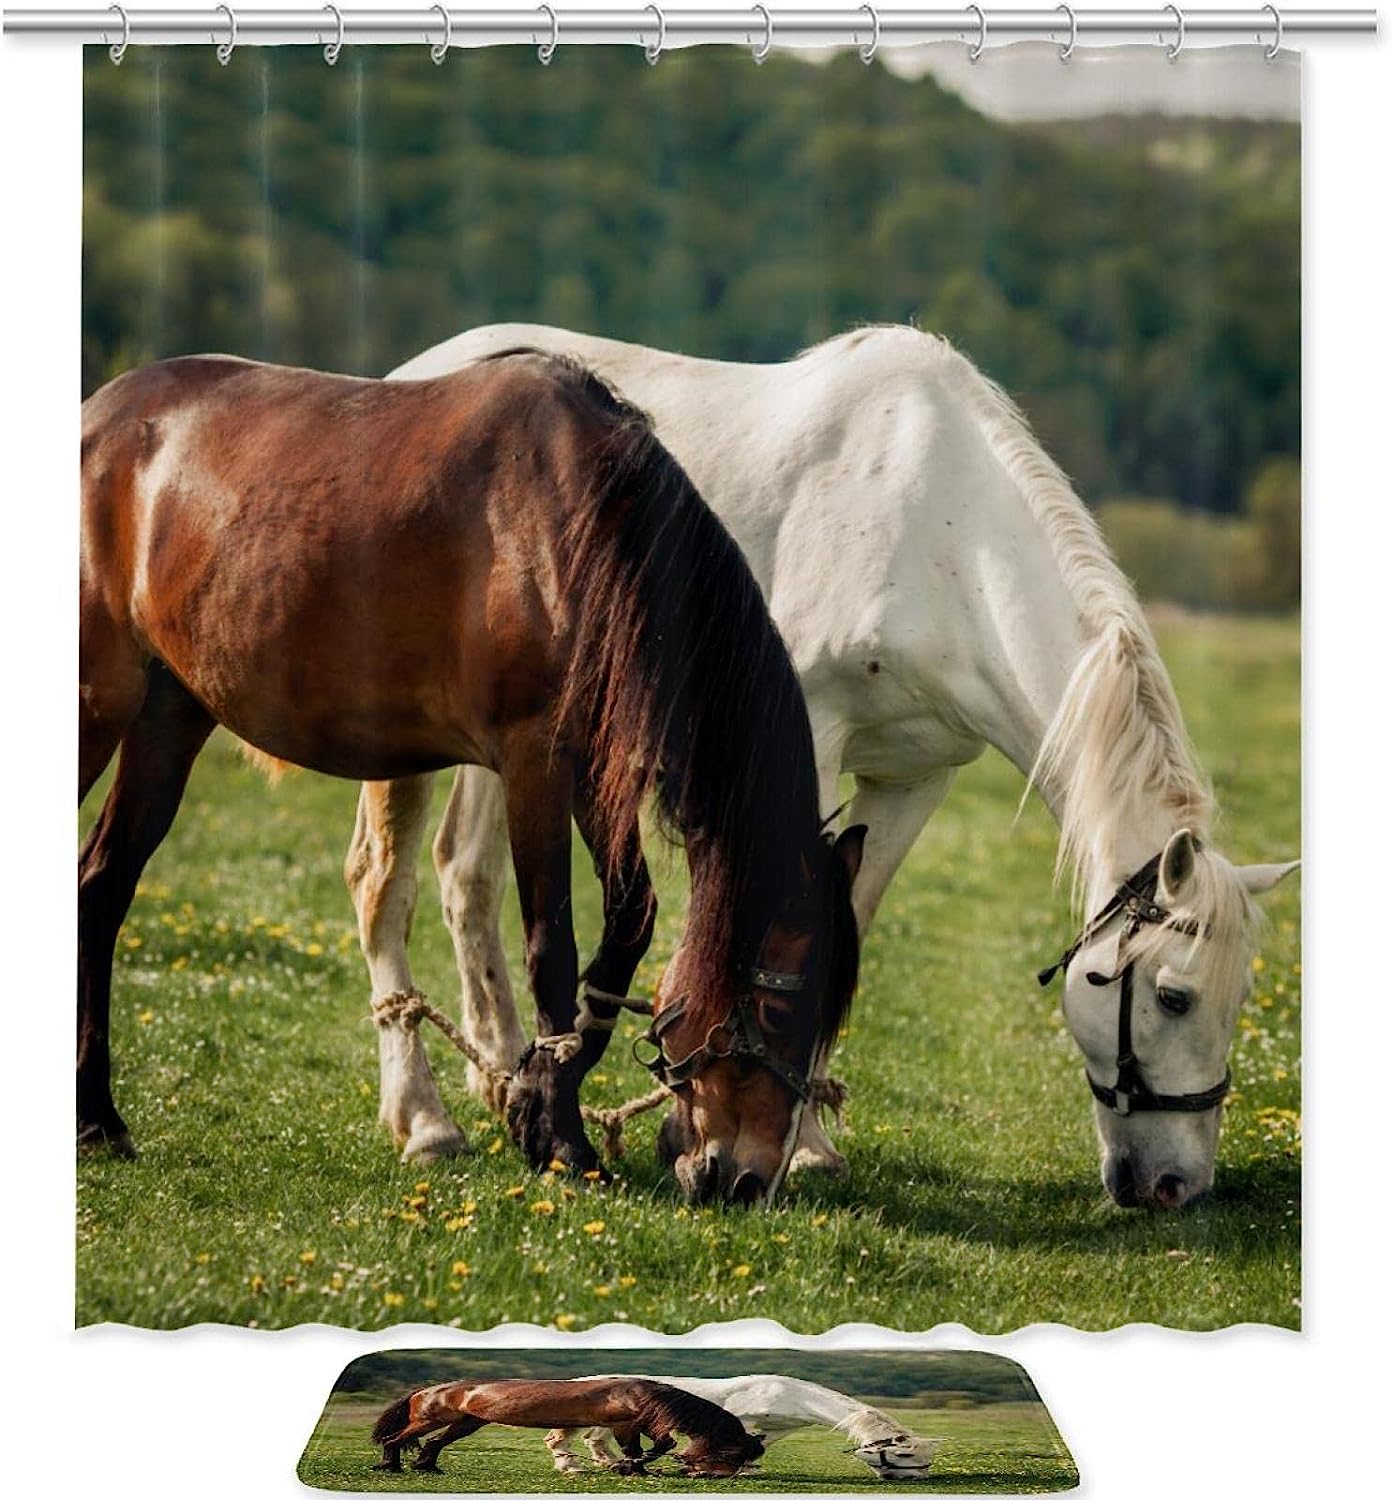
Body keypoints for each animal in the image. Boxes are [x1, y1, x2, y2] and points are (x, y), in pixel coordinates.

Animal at [77, 349, 863, 1202]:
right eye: (780, 1012)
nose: (747, 1180)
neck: (582, 529)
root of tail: (99, 417)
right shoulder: (533, 763)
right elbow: (551, 947)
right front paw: (562, 1137)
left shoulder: (591, 773)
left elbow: (628, 926)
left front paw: (533, 1099)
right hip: (98, 703)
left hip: (169, 716)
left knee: (102, 887)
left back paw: (98, 1119)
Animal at [350, 322, 1298, 1208]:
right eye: (1173, 996)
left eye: (1242, 997)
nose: (1175, 1186)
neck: (943, 539)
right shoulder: (805, 739)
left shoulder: (915, 779)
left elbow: (848, 922)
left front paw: (797, 1137)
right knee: (387, 880)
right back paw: (426, 1120)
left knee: (466, 875)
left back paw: (505, 1073)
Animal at [369, 1376, 765, 1477]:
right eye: (733, 1452)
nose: (712, 1477)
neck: (637, 1394)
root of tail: (423, 1391)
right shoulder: (623, 1425)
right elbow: (648, 1448)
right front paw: (627, 1468)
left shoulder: (639, 1424)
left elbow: (652, 1446)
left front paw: (633, 1470)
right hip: (429, 1418)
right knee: (395, 1438)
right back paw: (390, 1466)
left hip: (467, 1424)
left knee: (433, 1444)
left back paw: (427, 1467)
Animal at [544, 1374, 943, 1481]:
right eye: (904, 1456)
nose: (918, 1479)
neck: (790, 1395)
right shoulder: (740, 1418)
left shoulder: (777, 1428)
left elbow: (757, 1446)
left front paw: (748, 1469)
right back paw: (574, 1466)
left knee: (594, 1441)